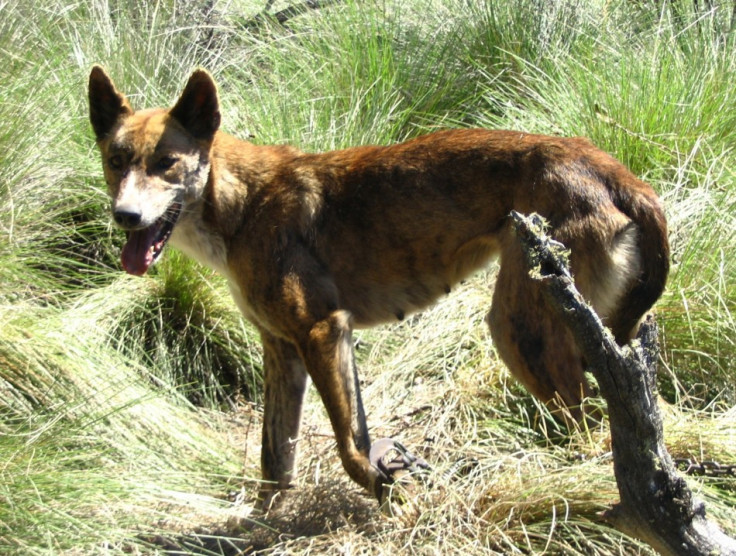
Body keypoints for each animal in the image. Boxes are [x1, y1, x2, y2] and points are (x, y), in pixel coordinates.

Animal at [89, 66, 668, 508]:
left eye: (166, 164)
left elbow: (349, 446)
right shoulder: (282, 349)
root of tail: (613, 170)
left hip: (518, 330)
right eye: (116, 161)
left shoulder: (323, 331)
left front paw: (388, 494)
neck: (243, 203)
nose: (125, 216)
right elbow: (275, 459)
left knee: (588, 424)